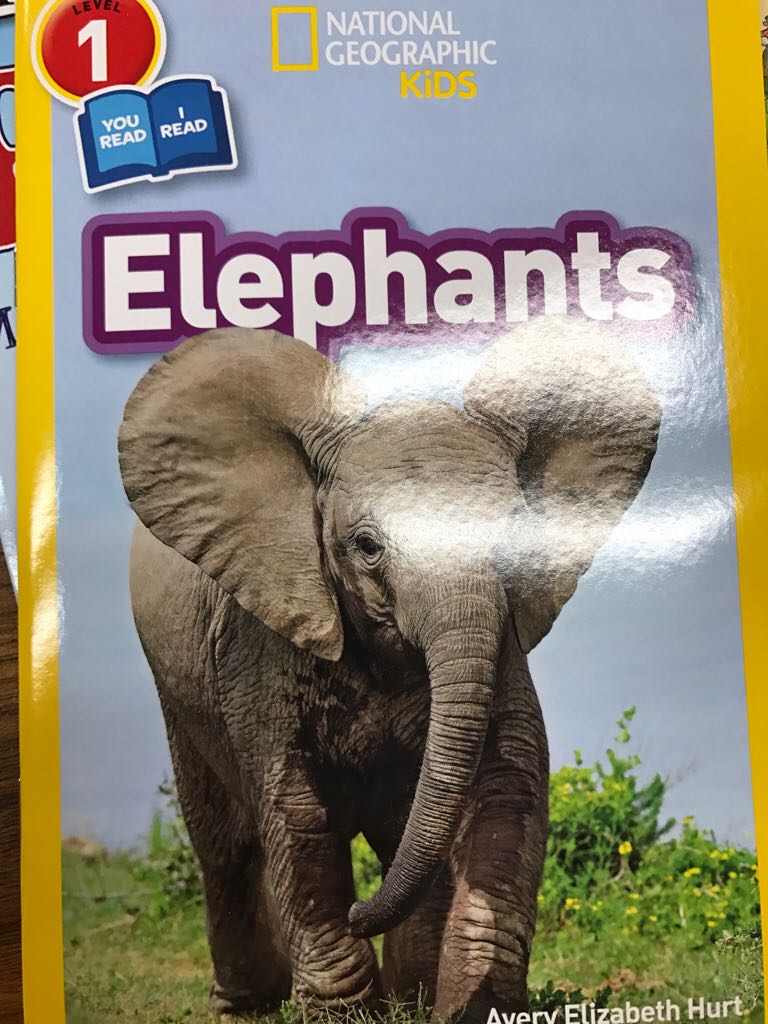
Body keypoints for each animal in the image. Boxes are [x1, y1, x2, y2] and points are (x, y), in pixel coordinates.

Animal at [118, 317, 661, 1021]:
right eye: (367, 546)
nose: (359, 914)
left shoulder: (501, 641)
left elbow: (508, 784)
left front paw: (474, 1008)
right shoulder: (257, 636)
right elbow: (296, 808)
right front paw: (342, 1013)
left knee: (400, 830)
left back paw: (411, 994)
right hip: (177, 687)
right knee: (223, 841)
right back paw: (246, 1006)